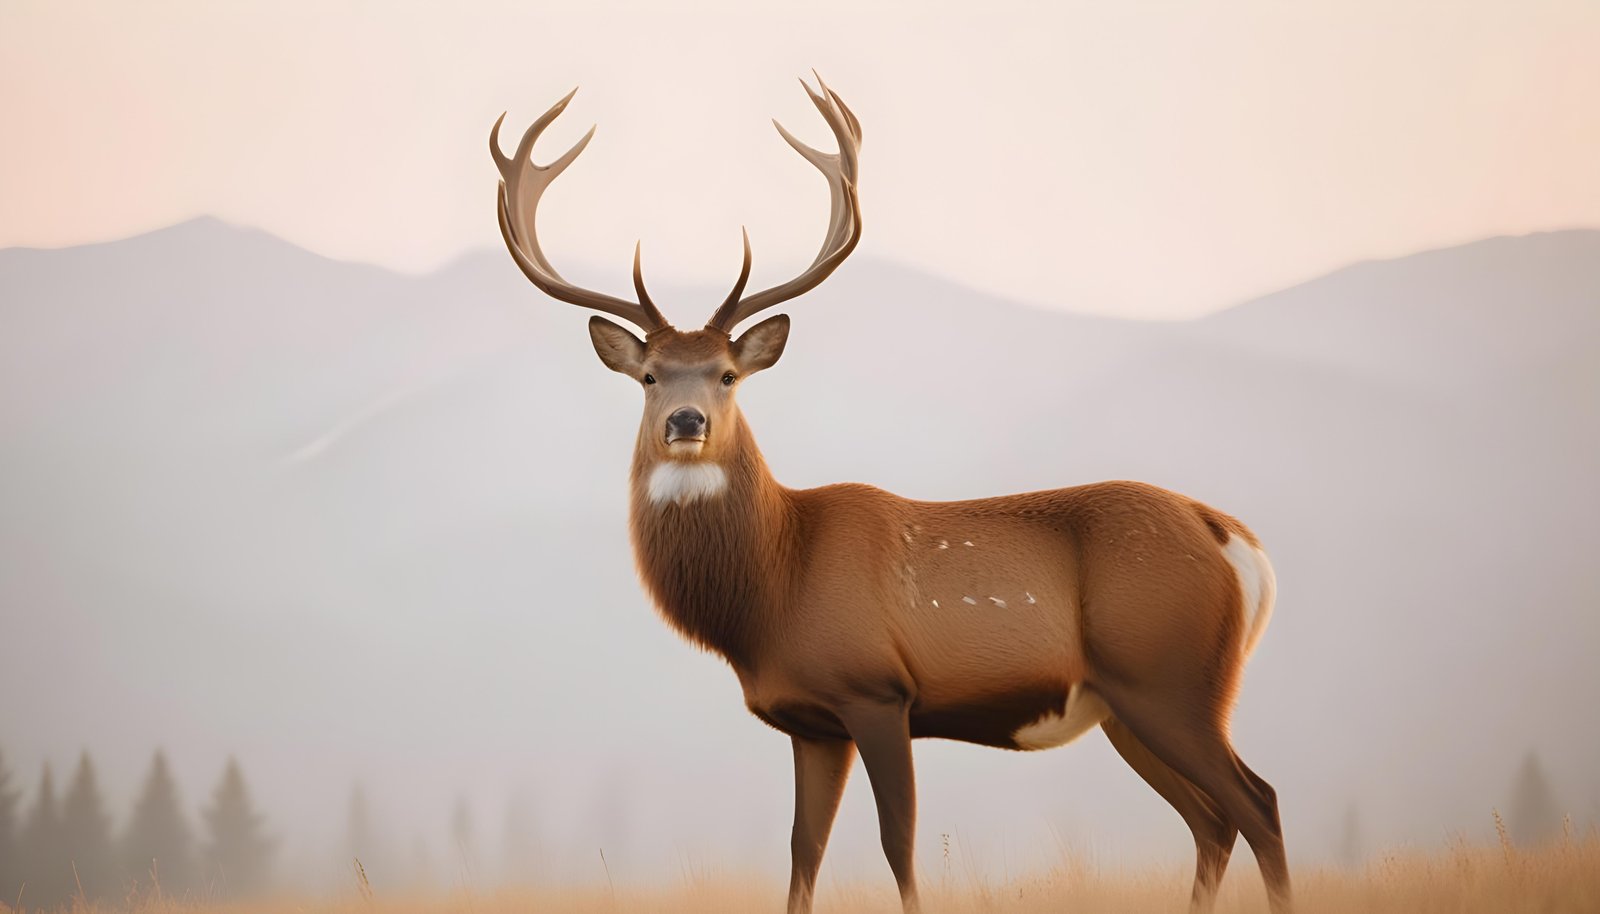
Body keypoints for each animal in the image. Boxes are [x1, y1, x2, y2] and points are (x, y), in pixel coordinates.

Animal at [489, 76, 1291, 914]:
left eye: (727, 374)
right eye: (649, 376)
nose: (686, 420)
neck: (774, 589)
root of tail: (1234, 539)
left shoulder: (876, 690)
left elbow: (896, 843)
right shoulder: (811, 721)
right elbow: (803, 849)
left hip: (1172, 677)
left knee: (1258, 803)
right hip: (1130, 703)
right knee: (1213, 821)